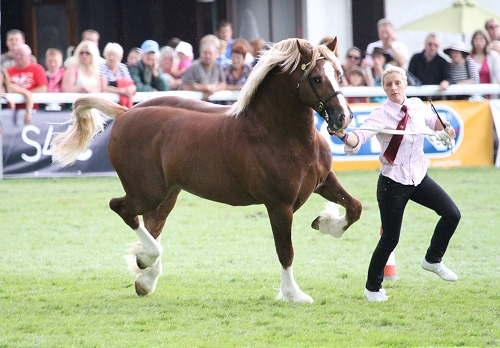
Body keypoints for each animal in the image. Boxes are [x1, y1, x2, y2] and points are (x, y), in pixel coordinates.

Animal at [52, 38, 362, 304]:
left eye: (338, 73)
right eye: (317, 78)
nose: (343, 118)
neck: (277, 134)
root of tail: (126, 113)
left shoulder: (323, 181)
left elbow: (355, 208)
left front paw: (325, 223)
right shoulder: (279, 205)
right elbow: (285, 251)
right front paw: (293, 295)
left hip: (168, 194)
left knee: (153, 225)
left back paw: (145, 276)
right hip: (147, 192)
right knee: (123, 209)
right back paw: (146, 260)